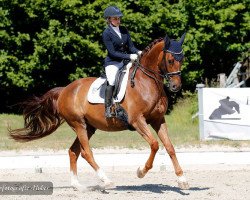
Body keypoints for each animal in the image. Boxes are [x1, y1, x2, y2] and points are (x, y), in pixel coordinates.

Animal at [9, 32, 189, 189]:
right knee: (86, 152)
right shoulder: (137, 120)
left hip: (89, 127)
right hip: (79, 124)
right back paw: (106, 180)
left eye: (182, 59)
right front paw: (141, 172)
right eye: (170, 60)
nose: (176, 86)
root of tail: (64, 90)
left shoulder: (158, 120)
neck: (146, 82)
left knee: (73, 151)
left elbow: (170, 147)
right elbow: (154, 145)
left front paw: (182, 180)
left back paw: (77, 185)